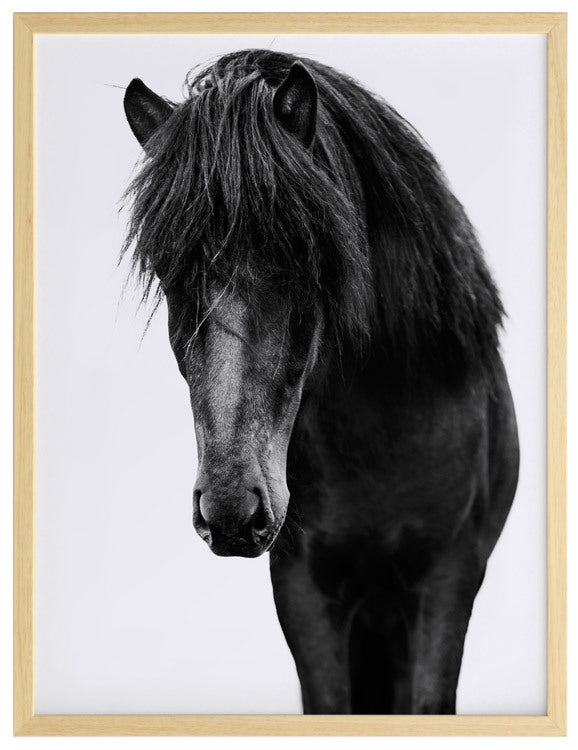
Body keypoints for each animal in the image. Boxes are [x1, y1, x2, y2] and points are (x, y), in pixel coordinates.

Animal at [122, 49, 519, 715]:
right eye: (167, 268)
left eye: (303, 256)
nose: (231, 512)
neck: (383, 437)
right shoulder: (304, 588)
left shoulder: (448, 580)